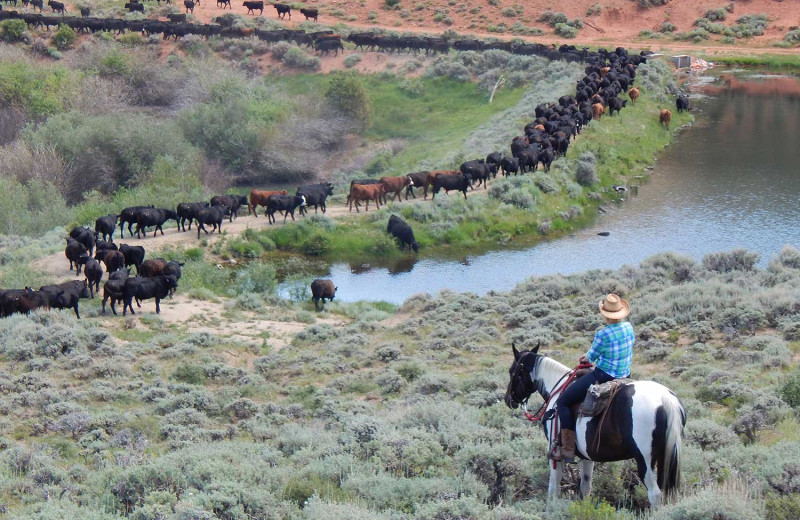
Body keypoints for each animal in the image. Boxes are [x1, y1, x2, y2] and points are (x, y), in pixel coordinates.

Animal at [504, 346, 684, 508]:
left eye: (512, 370)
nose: (508, 399)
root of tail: (665, 399)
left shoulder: (554, 454)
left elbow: (553, 489)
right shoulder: (587, 456)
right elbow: (585, 488)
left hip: (645, 459)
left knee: (655, 494)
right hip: (665, 458)